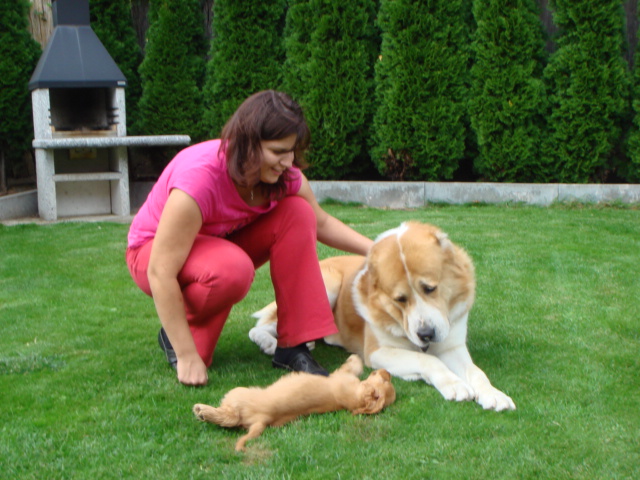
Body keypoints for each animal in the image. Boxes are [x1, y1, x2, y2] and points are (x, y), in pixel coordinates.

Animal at [194, 354, 396, 452]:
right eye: (386, 380)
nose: (388, 372)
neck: (354, 398)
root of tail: (263, 420)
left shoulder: (342, 375)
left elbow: (353, 366)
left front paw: (354, 357)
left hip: (237, 394)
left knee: (228, 416)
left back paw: (202, 410)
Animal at [249, 221, 516, 412]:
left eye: (430, 288)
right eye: (400, 299)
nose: (426, 334)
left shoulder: (452, 347)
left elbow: (475, 371)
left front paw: (493, 394)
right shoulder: (378, 353)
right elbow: (427, 360)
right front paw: (454, 384)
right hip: (327, 285)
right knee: (261, 325)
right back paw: (269, 342)